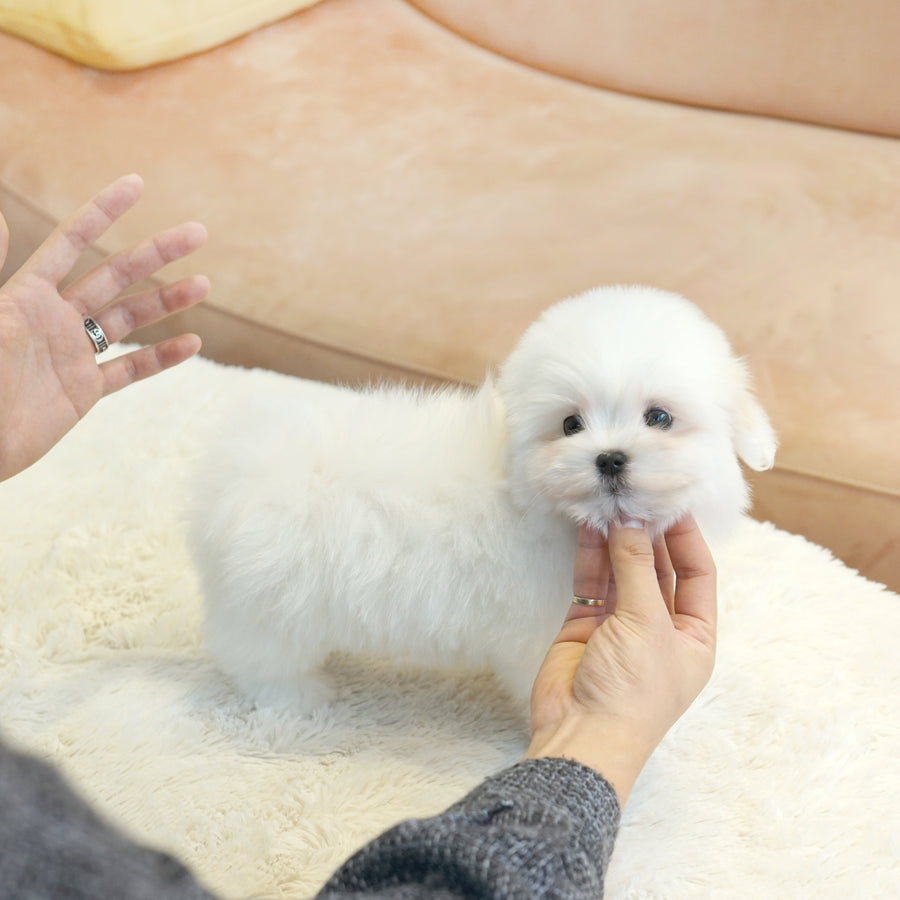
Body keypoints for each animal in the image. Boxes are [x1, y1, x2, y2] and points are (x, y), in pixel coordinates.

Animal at [188, 284, 772, 712]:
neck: (537, 503)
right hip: (273, 605)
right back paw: (301, 698)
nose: (609, 458)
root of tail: (225, 479)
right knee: (257, 657)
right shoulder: (540, 627)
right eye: (570, 424)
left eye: (659, 417)